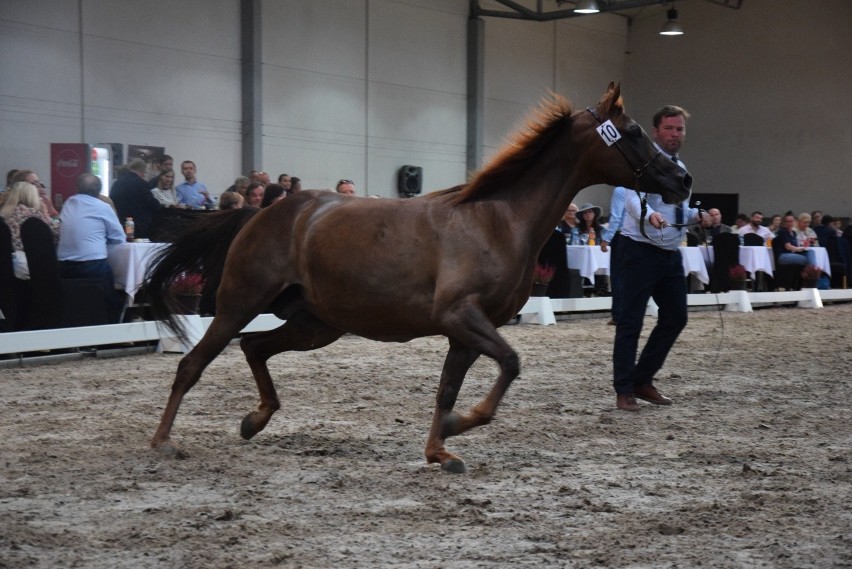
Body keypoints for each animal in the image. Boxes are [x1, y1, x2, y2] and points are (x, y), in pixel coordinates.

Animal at [146, 82, 692, 472]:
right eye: (635, 132)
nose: (682, 179)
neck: (498, 219)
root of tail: (263, 212)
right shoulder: (461, 316)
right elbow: (510, 364)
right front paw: (456, 428)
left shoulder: (466, 332)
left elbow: (448, 389)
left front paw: (440, 449)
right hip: (240, 304)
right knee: (192, 365)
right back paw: (163, 441)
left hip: (316, 324)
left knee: (255, 348)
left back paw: (252, 421)